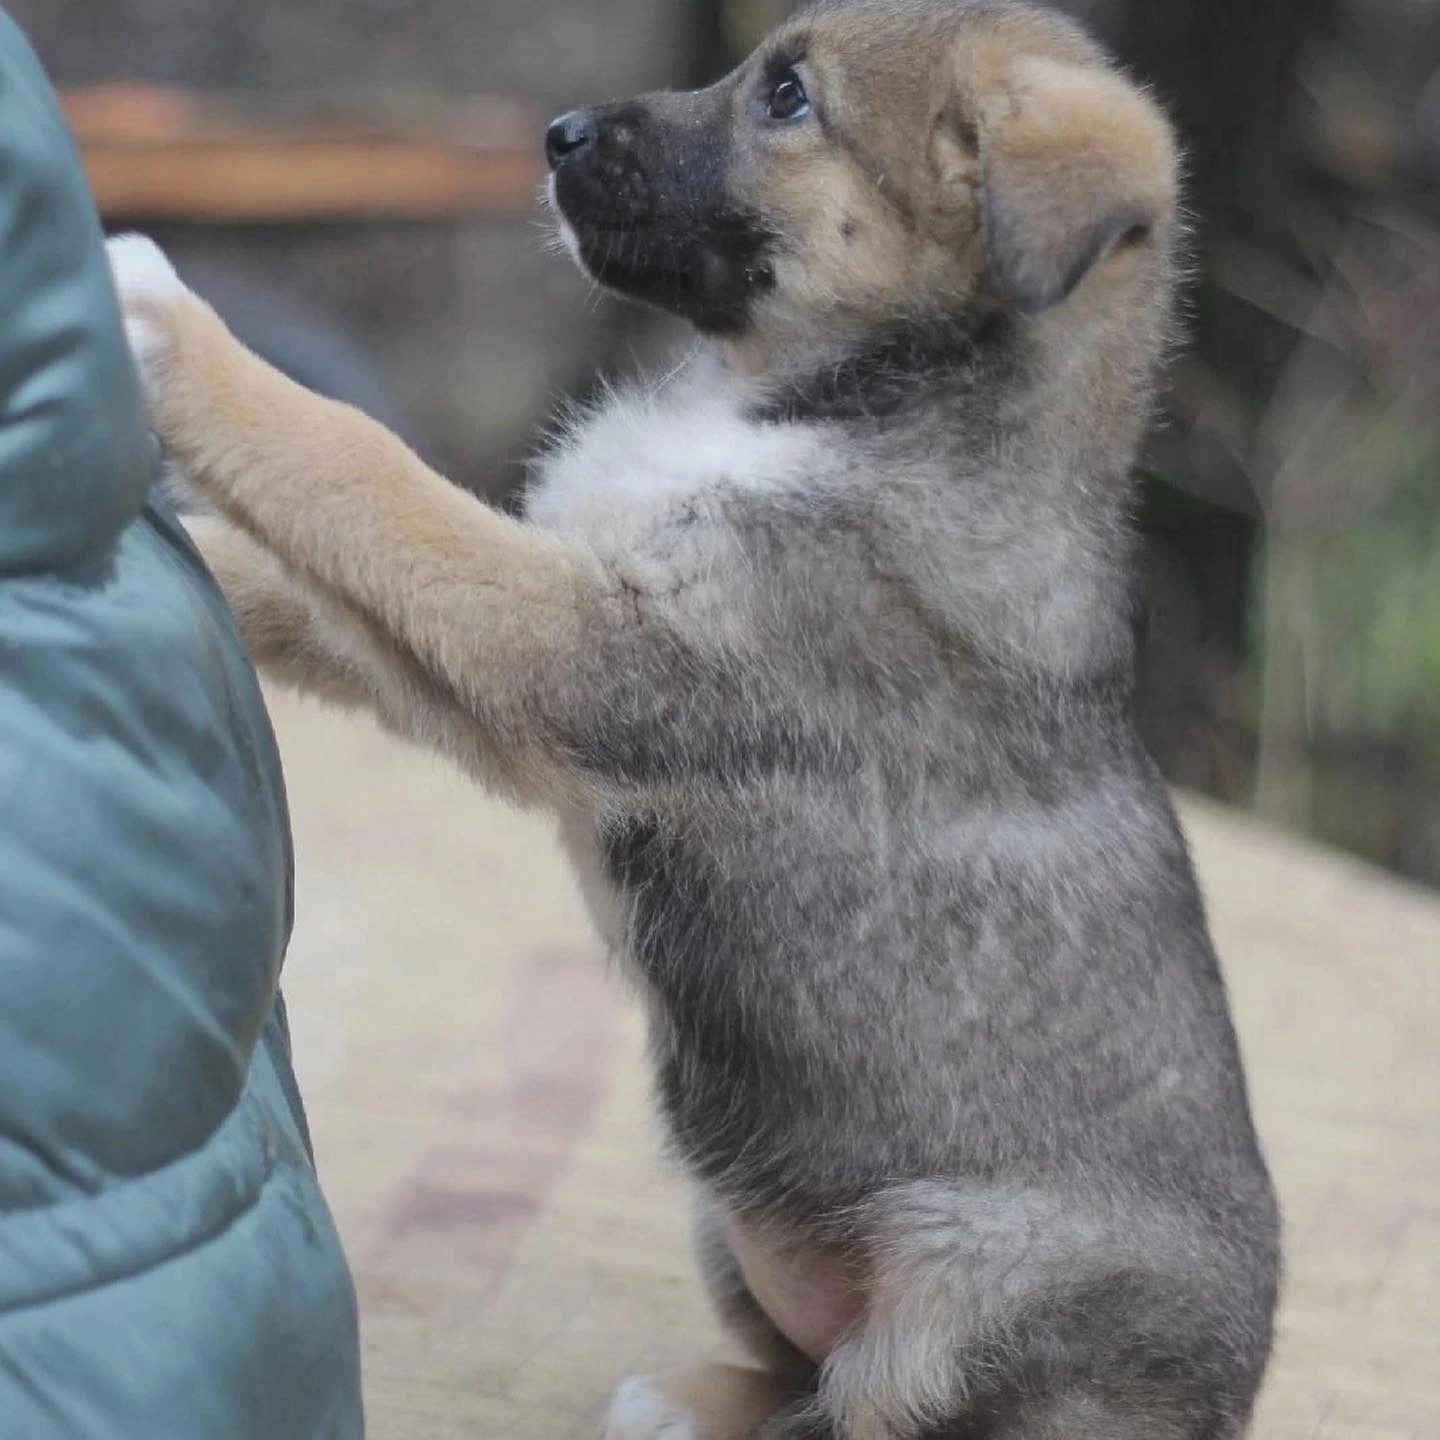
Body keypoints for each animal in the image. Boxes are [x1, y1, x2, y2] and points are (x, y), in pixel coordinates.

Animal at [112, 2, 1284, 1440]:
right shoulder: (523, 683)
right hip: (742, 1226)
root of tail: (1219, 1411)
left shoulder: (583, 651)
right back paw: (692, 1397)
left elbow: (361, 465)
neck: (850, 409)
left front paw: (168, 321)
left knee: (871, 1407)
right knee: (799, 1365)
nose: (556, 135)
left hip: (978, 1280)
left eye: (788, 99)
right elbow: (312, 565)